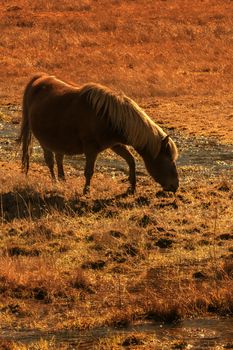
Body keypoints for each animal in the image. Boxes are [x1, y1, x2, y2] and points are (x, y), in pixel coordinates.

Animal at [17, 73, 178, 194]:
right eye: (168, 159)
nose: (175, 186)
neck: (108, 117)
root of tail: (40, 78)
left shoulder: (116, 145)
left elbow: (131, 161)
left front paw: (132, 188)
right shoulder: (91, 149)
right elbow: (89, 171)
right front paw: (86, 191)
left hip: (58, 141)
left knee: (59, 158)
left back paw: (63, 180)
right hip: (44, 142)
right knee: (50, 161)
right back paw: (56, 182)